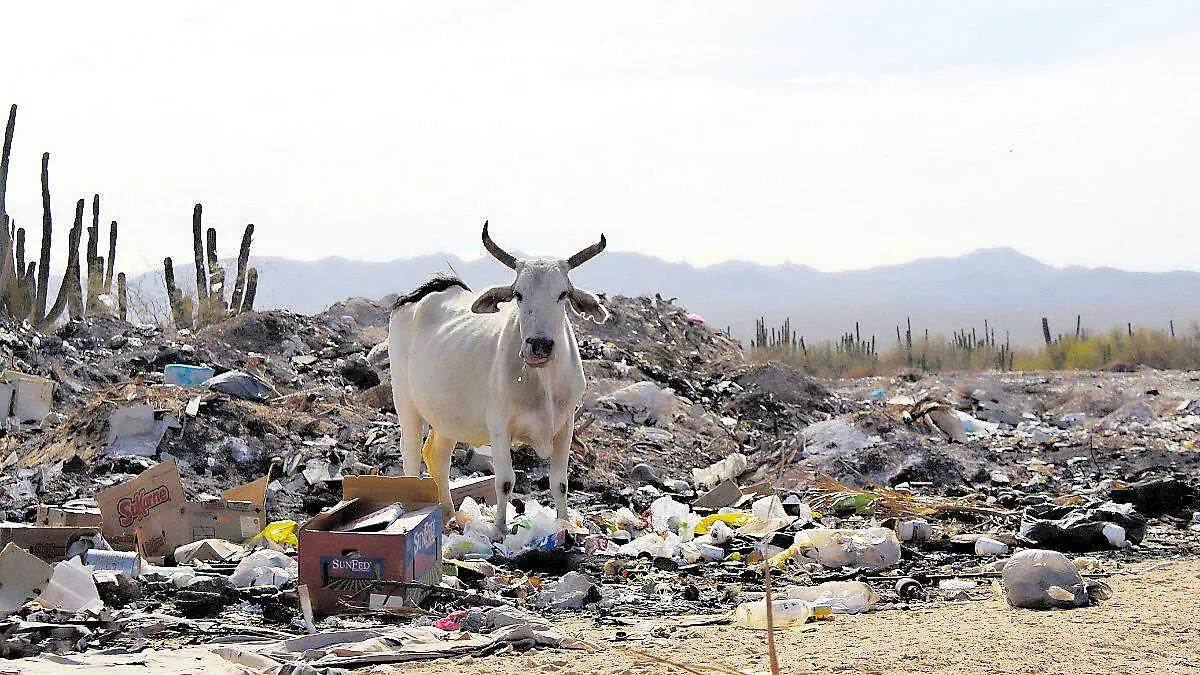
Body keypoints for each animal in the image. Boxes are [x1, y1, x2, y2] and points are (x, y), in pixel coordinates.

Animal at [388, 222, 608, 537]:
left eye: (563, 294)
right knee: (411, 453)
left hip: (446, 415)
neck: (543, 381)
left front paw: (564, 524)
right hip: (406, 402)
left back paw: (449, 514)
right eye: (518, 294)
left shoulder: (566, 425)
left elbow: (560, 482)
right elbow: (504, 480)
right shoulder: (499, 426)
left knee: (437, 456)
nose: (539, 345)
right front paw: (500, 530)